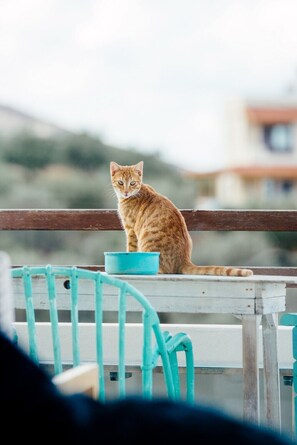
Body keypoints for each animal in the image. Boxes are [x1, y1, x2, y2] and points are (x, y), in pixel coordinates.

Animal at [110, 160, 253, 278]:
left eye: (132, 183)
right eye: (120, 182)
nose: (126, 192)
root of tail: (184, 260)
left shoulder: (131, 230)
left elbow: (130, 250)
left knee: (165, 269)